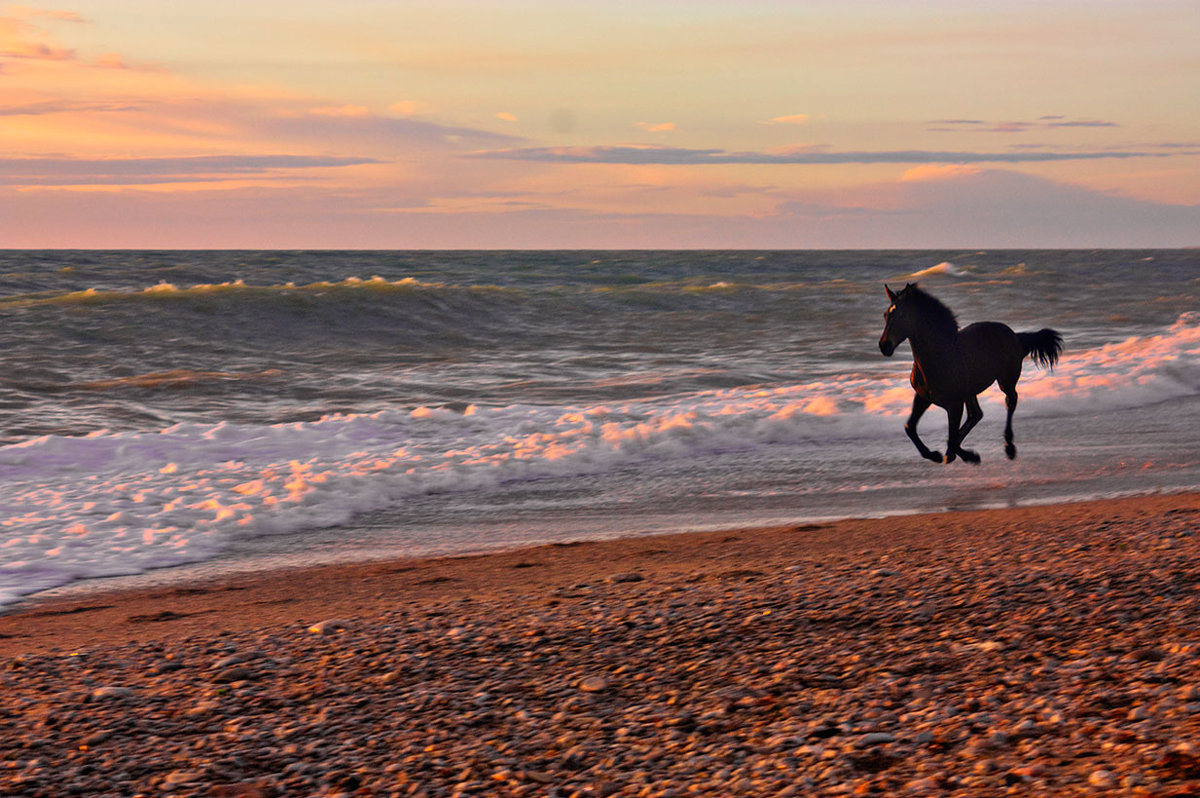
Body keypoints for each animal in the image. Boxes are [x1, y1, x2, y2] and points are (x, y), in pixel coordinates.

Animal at [878, 283, 1065, 463]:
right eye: (885, 315)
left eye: (902, 315)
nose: (884, 346)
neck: (940, 358)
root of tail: (1015, 337)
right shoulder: (923, 397)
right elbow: (910, 428)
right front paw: (936, 455)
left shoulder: (954, 404)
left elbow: (952, 438)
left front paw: (968, 456)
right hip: (971, 391)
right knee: (976, 414)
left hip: (1006, 381)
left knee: (1010, 402)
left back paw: (1009, 448)